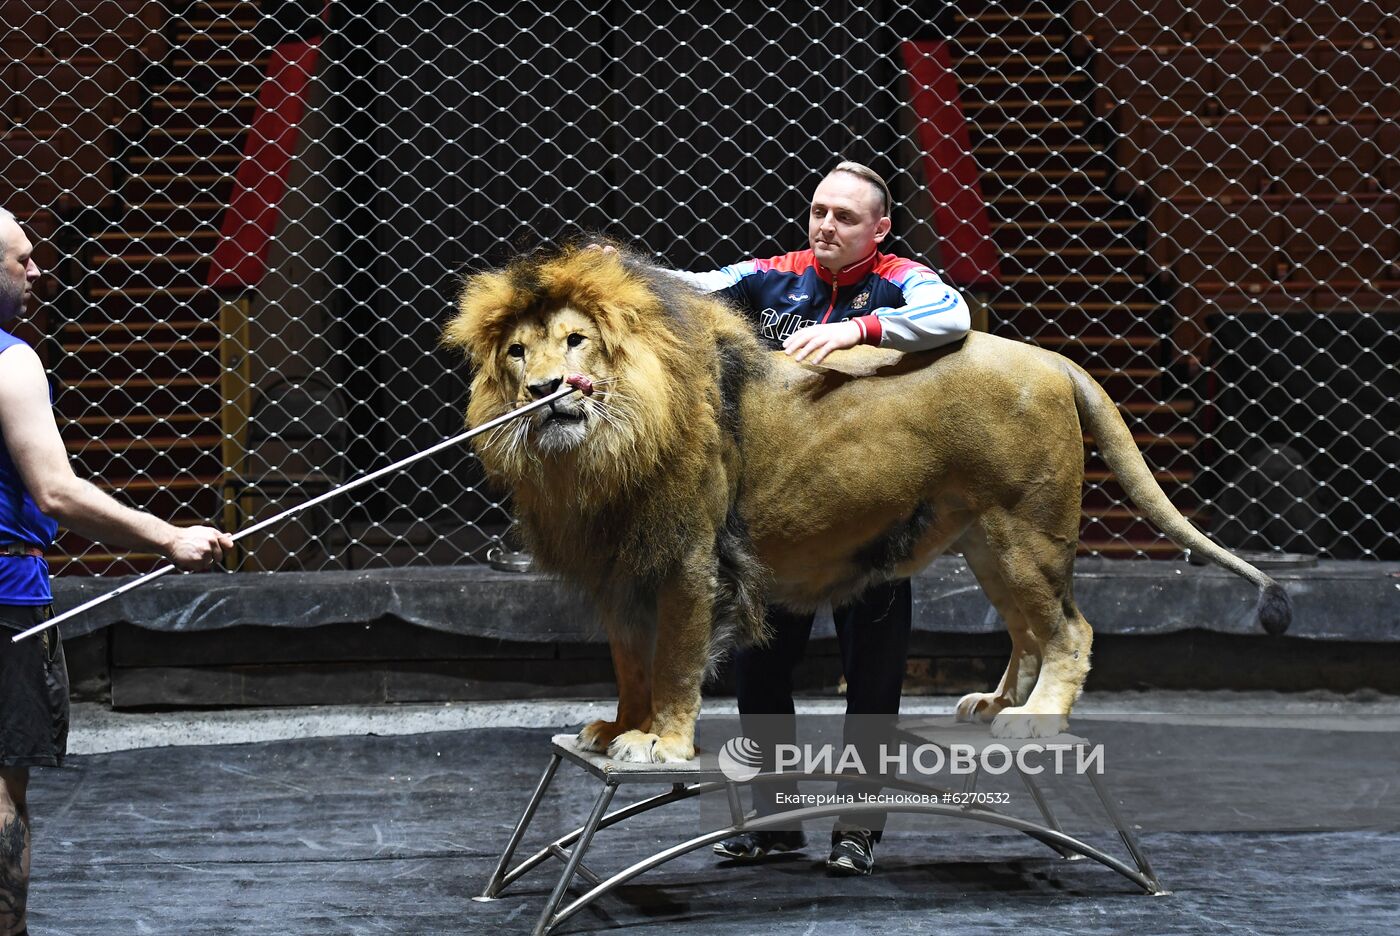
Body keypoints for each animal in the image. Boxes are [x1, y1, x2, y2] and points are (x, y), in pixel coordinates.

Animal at [445, 244, 1288, 761]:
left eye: (577, 342)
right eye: (516, 351)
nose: (544, 390)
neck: (600, 452)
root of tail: (1049, 357)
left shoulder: (688, 562)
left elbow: (676, 662)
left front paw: (663, 744)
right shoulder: (619, 572)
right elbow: (630, 665)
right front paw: (619, 726)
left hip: (1029, 532)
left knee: (1070, 631)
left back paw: (1037, 719)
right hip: (987, 542)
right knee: (1027, 631)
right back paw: (992, 705)